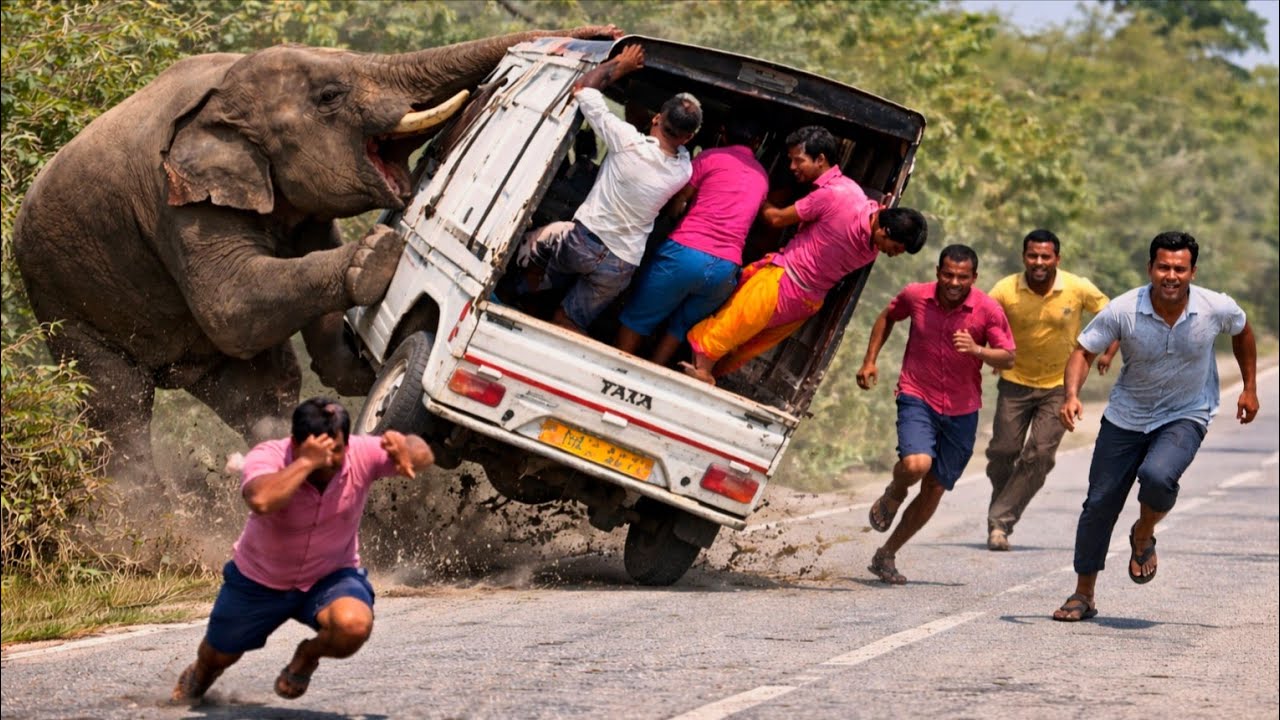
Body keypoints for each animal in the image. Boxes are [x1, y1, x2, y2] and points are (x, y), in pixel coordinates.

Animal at [13, 25, 620, 478]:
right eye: (330, 97)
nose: (608, 34)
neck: (227, 88)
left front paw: (350, 361)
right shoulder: (177, 202)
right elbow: (230, 304)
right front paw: (378, 255)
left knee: (261, 390)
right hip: (61, 299)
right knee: (121, 404)